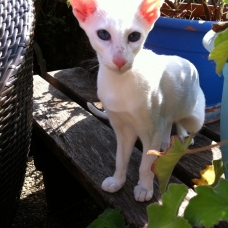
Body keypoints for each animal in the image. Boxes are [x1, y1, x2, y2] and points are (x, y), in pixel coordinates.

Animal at [70, 0, 205, 202]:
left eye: (134, 36)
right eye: (103, 34)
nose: (119, 60)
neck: (119, 86)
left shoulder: (151, 131)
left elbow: (146, 166)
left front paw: (144, 188)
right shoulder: (123, 129)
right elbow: (120, 159)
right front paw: (117, 181)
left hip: (194, 117)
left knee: (181, 121)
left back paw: (182, 137)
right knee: (168, 121)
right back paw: (167, 142)